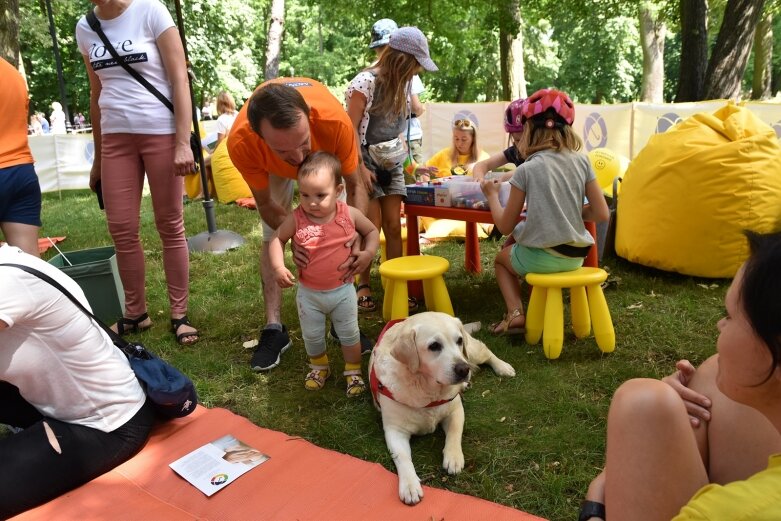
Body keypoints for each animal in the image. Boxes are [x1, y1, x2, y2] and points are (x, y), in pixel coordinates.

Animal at [368, 310, 516, 502]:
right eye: (434, 346)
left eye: (458, 341)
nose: (463, 369)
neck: (427, 388)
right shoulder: (395, 430)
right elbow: (403, 457)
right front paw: (409, 485)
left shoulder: (455, 410)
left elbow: (454, 433)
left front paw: (453, 457)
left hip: (471, 352)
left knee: (486, 351)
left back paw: (503, 367)